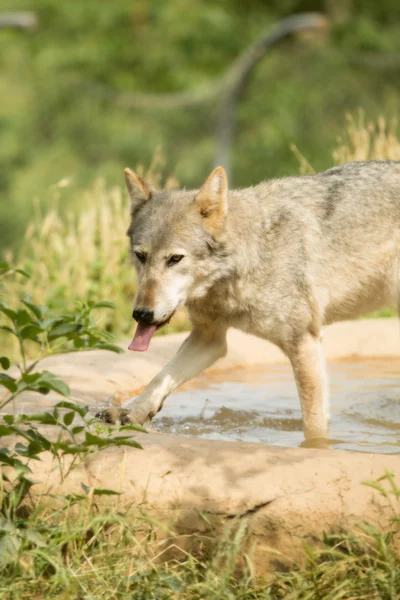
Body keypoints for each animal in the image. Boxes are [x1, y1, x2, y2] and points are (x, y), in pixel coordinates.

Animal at [97, 161, 400, 440]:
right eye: (141, 256)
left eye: (175, 259)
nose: (141, 314)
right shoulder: (209, 339)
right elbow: (160, 377)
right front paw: (132, 411)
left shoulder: (304, 343)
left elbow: (314, 425)